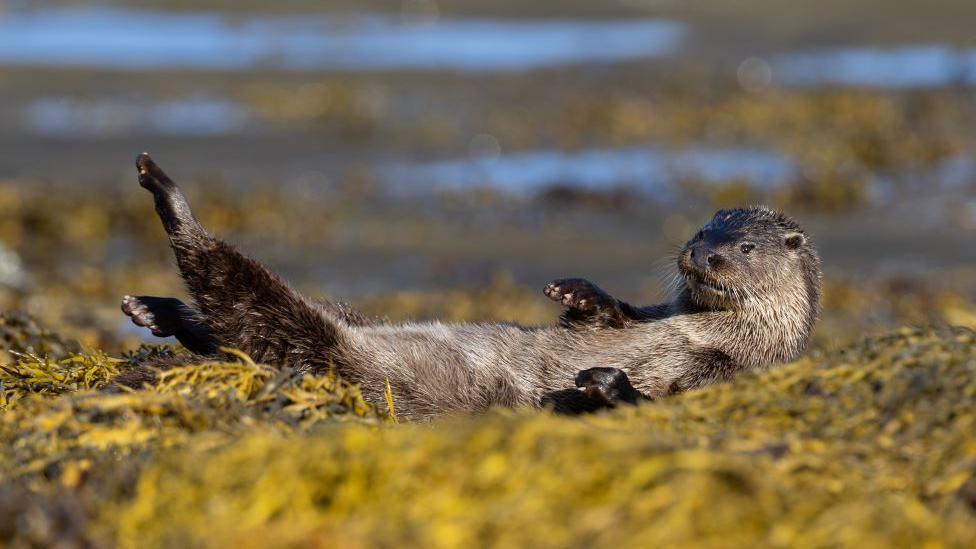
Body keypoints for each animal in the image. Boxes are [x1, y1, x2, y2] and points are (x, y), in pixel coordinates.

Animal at [122, 154, 824, 420]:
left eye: (744, 249)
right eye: (703, 227)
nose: (699, 254)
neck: (704, 331)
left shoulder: (726, 374)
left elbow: (656, 400)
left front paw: (603, 384)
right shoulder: (651, 311)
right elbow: (609, 314)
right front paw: (575, 293)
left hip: (335, 355)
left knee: (246, 309)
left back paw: (168, 199)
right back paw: (157, 309)